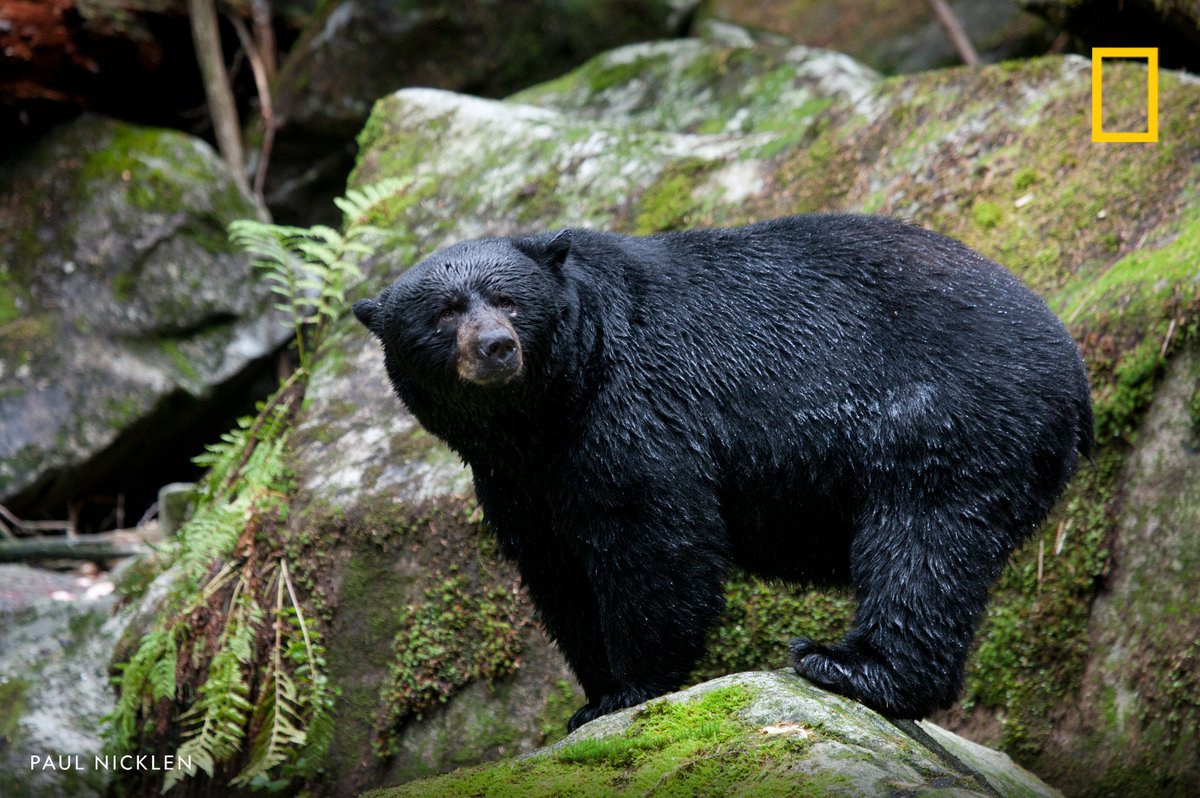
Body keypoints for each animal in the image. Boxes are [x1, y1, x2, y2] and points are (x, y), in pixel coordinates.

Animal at [350, 214, 1094, 729]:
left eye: (509, 300)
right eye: (444, 312)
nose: (497, 348)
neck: (550, 407)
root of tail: (1073, 368)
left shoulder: (635, 408)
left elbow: (654, 533)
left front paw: (630, 687)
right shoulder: (516, 478)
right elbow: (557, 569)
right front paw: (594, 692)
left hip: (950, 416)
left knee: (922, 541)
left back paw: (852, 666)